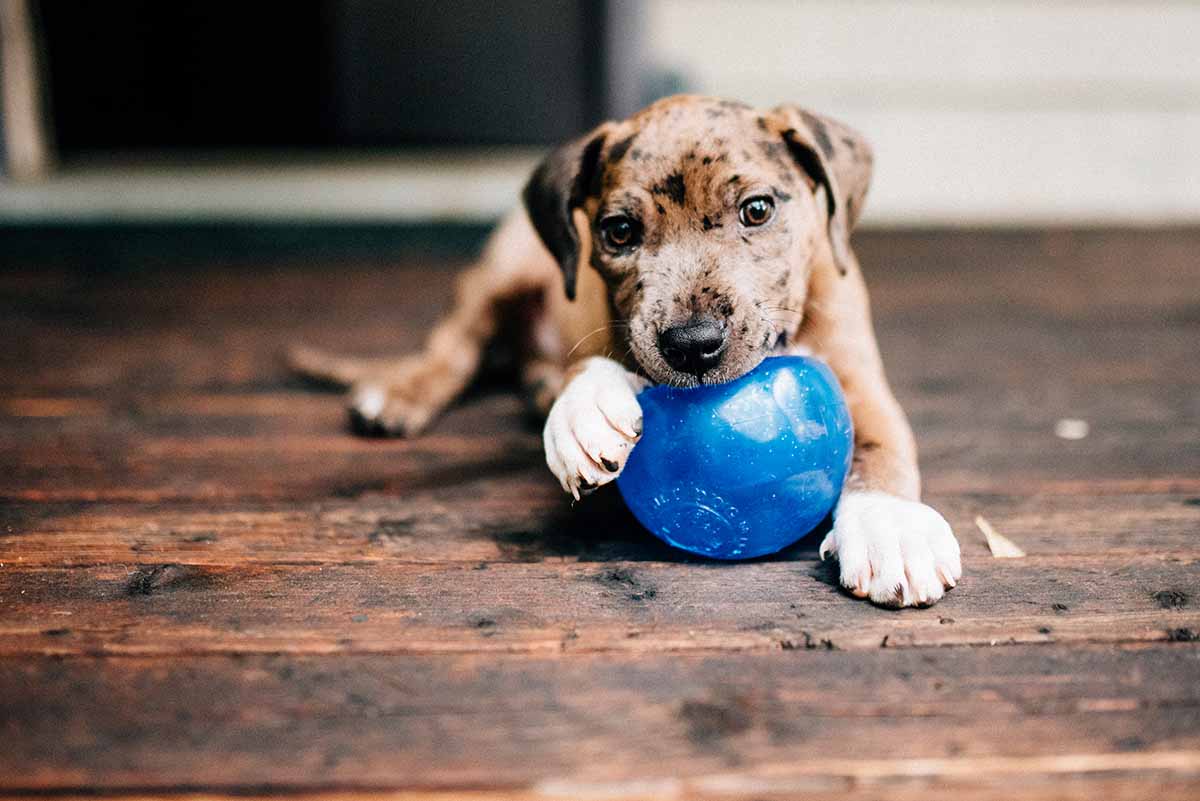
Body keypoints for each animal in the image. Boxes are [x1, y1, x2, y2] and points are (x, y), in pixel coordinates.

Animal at [290, 95, 964, 606]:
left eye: (758, 210)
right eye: (618, 231)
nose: (694, 346)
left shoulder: (861, 380)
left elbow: (881, 447)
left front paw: (889, 525)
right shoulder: (609, 322)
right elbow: (598, 359)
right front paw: (583, 409)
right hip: (502, 270)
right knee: (456, 342)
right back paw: (406, 391)